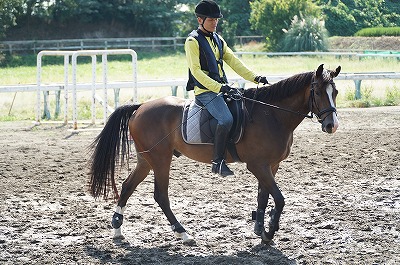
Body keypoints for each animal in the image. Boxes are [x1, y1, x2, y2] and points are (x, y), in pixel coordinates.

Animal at [89, 63, 342, 243]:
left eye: (336, 92)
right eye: (318, 92)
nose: (332, 125)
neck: (272, 115)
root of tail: (140, 107)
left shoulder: (271, 165)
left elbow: (263, 196)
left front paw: (260, 228)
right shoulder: (258, 165)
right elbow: (279, 199)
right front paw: (270, 231)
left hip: (146, 159)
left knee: (127, 186)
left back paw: (118, 229)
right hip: (160, 160)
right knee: (161, 195)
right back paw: (183, 233)